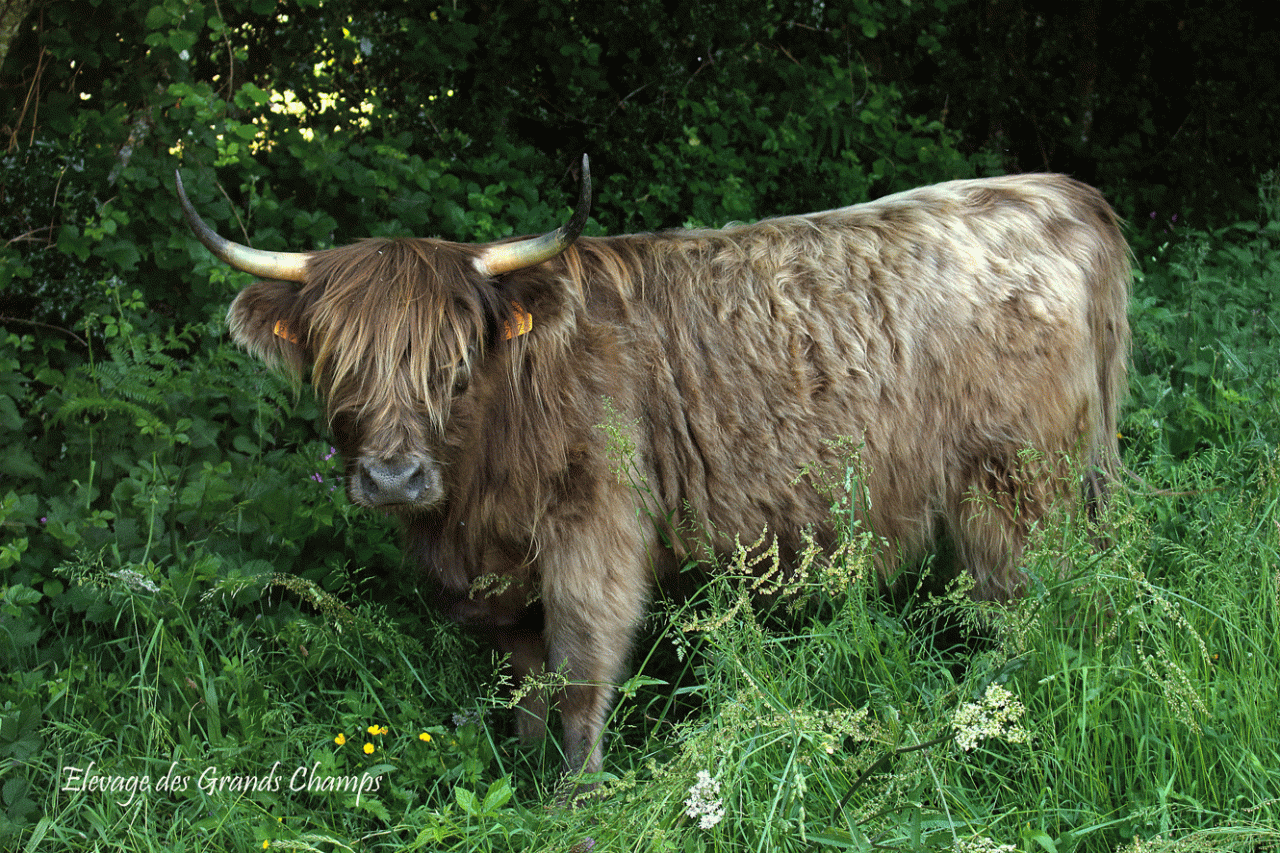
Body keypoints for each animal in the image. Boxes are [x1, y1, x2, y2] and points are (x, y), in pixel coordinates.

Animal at [175, 156, 1126, 788]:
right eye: (339, 364)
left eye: (454, 362)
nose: (394, 478)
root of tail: (1058, 194)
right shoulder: (501, 573)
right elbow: (526, 677)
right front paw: (524, 774)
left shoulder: (594, 536)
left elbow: (580, 671)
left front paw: (576, 795)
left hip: (1014, 490)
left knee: (1034, 612)